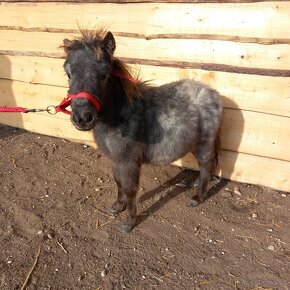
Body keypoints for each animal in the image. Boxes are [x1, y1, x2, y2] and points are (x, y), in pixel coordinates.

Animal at [62, 29, 222, 232]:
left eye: (103, 75)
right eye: (68, 74)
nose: (82, 117)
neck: (119, 117)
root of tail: (213, 94)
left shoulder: (130, 162)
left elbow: (130, 189)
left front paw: (129, 222)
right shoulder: (116, 159)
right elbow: (118, 182)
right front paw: (117, 206)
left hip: (204, 143)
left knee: (206, 163)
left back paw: (197, 198)